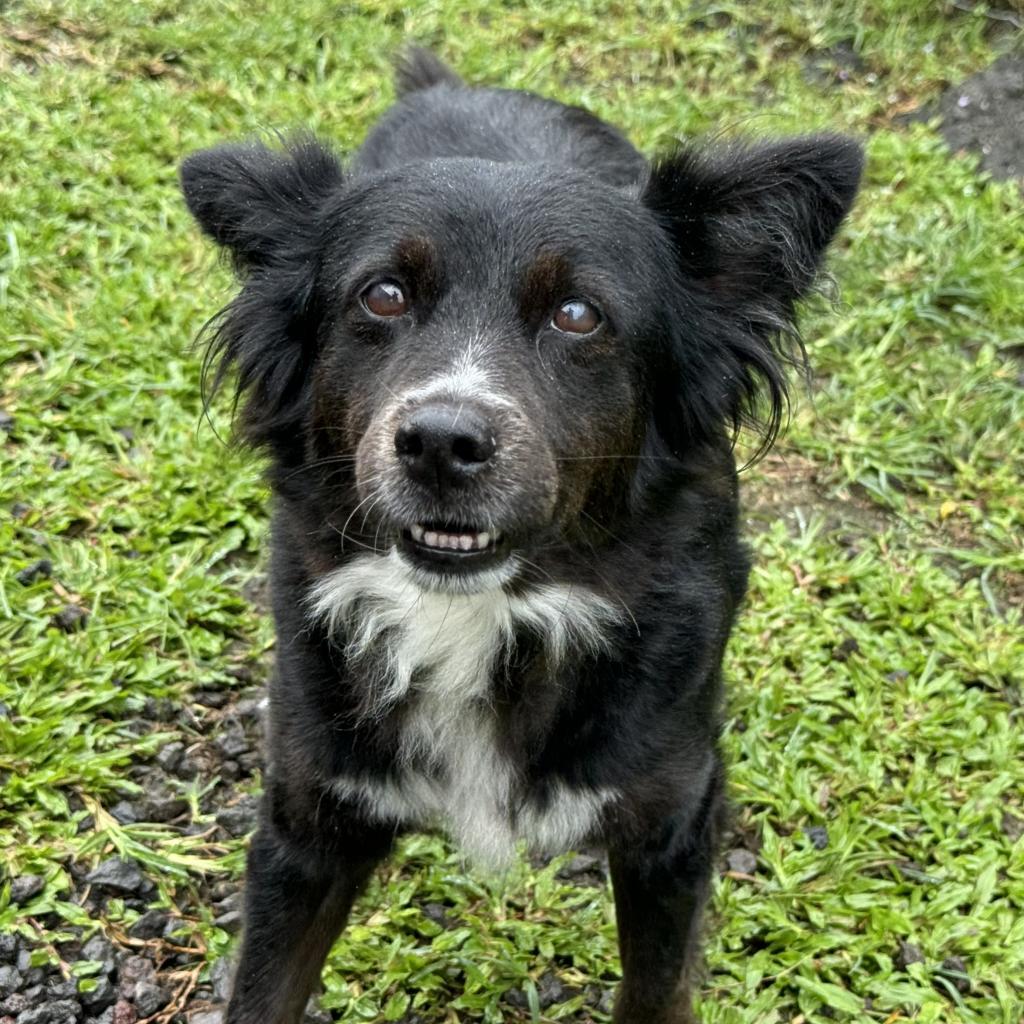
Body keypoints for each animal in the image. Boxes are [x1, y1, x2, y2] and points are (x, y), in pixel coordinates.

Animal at [180, 48, 860, 1024]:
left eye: (578, 314)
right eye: (383, 296)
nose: (440, 442)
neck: (487, 614)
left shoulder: (671, 825)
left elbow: (656, 987)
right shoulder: (307, 823)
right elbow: (265, 988)